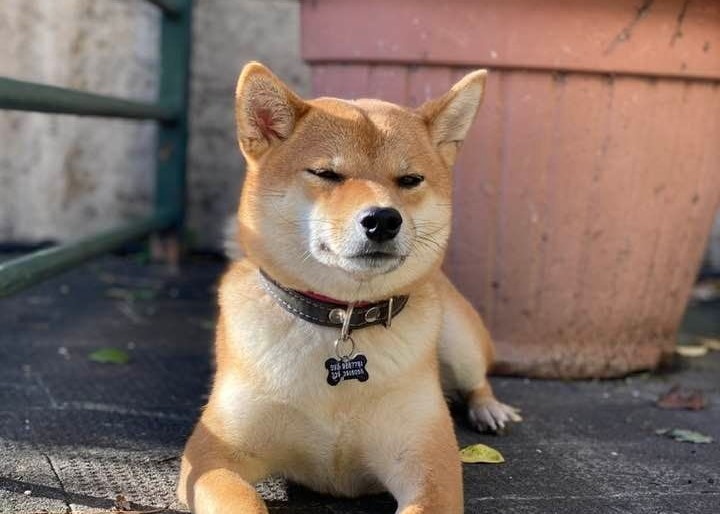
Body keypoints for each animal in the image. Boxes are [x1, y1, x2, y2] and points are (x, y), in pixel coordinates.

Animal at [178, 62, 521, 514]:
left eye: (410, 179)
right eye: (327, 173)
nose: (383, 219)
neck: (340, 316)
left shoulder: (429, 462)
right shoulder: (212, 455)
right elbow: (241, 501)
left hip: (459, 339)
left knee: (477, 379)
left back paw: (489, 409)